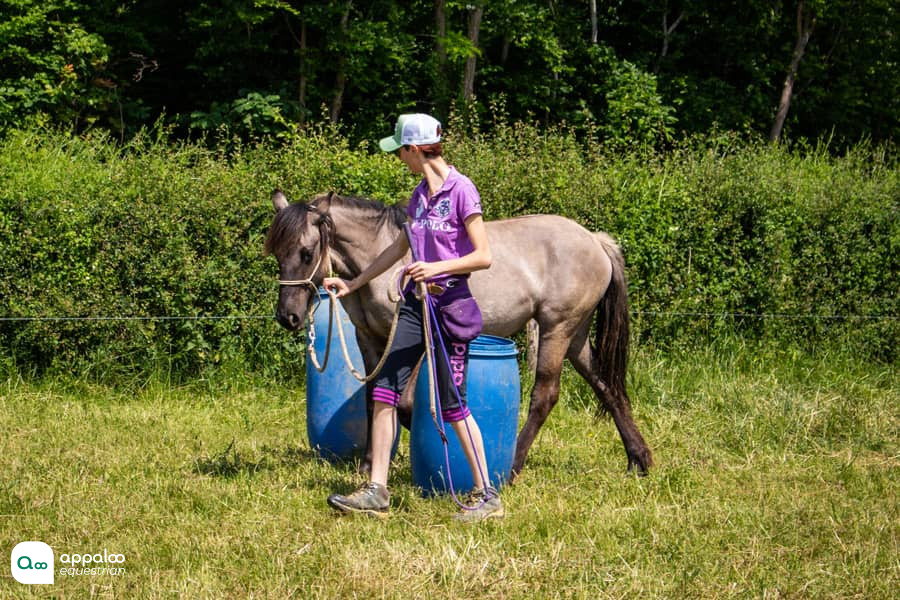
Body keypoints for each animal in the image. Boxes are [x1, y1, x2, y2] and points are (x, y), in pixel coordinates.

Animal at [264, 190, 652, 478]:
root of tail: (595, 241)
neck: (384, 260)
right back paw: (639, 459)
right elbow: (374, 399)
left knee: (545, 396)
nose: (288, 316)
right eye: (278, 254)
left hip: (557, 330)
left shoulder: (410, 339)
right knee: (606, 386)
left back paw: (512, 466)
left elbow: (405, 405)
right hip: (575, 337)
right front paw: (369, 464)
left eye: (307, 252)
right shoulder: (369, 340)